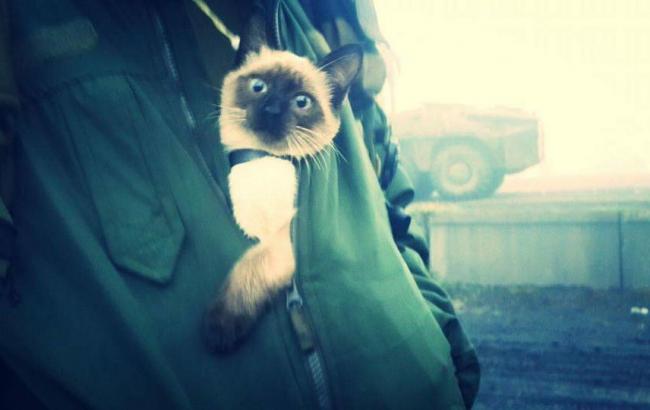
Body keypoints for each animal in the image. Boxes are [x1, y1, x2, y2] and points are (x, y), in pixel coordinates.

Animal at [202, 13, 362, 353]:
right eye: (258, 87)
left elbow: (249, 268)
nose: (272, 110)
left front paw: (218, 328)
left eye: (302, 102)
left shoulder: (280, 240)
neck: (262, 159)